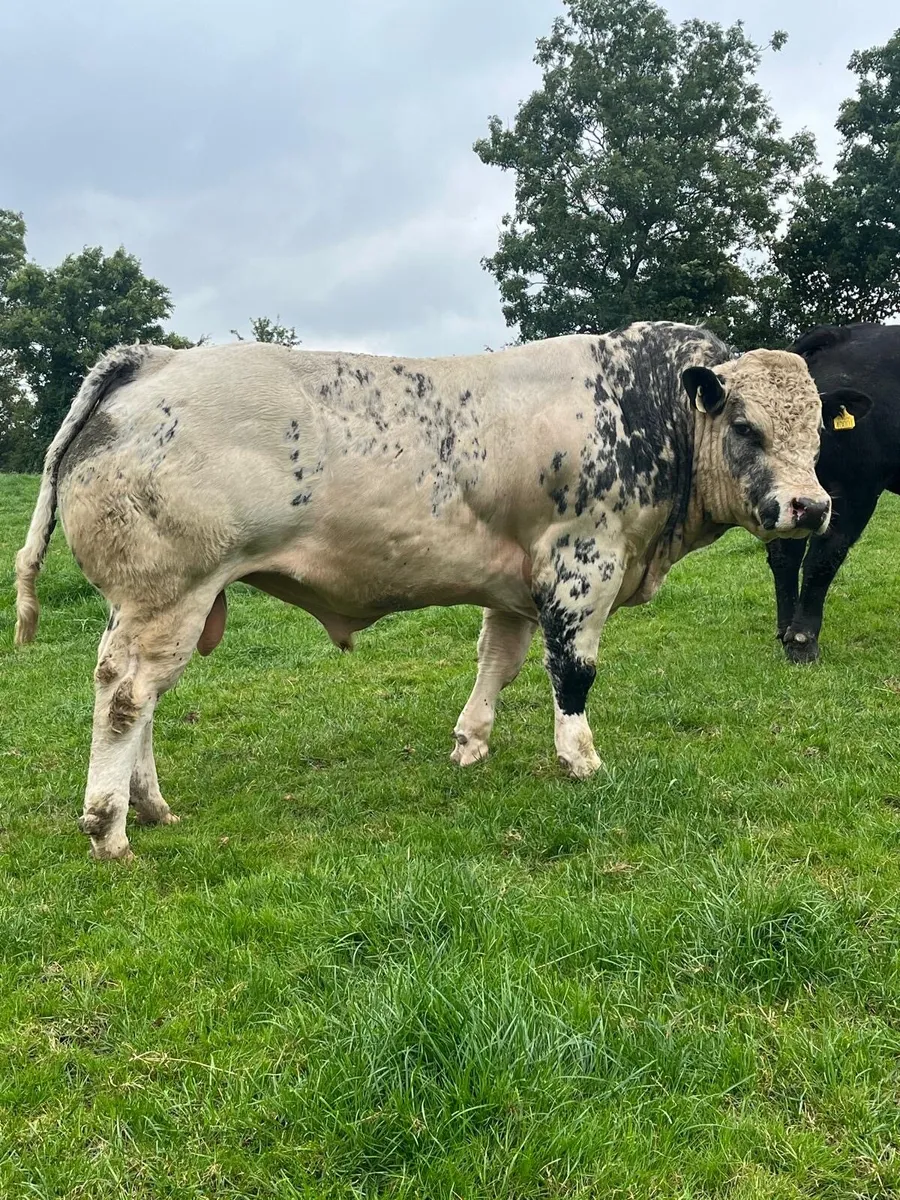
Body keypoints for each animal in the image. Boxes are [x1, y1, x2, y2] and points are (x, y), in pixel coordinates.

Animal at [15, 322, 835, 861]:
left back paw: (150, 806)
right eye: (746, 425)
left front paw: (471, 743)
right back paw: (109, 827)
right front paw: (580, 759)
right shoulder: (582, 560)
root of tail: (151, 360)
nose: (811, 506)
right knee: (126, 695)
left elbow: (498, 662)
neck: (647, 411)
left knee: (143, 698)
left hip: (152, 601)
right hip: (170, 591)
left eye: (821, 429)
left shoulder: (515, 583)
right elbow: (573, 671)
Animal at [767, 323, 888, 663]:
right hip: (857, 485)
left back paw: (786, 630)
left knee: (786, 553)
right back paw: (801, 639)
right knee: (823, 554)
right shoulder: (855, 486)